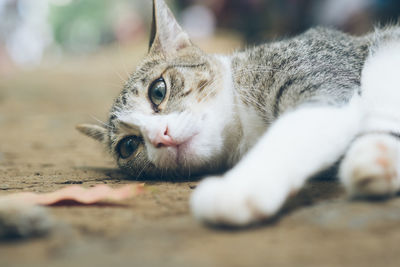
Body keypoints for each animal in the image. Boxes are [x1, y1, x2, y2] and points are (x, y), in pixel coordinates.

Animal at [77, 0, 400, 228]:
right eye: (128, 146)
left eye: (158, 91)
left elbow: (291, 133)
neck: (245, 130)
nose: (160, 137)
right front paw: (378, 159)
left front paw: (237, 189)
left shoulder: (320, 79)